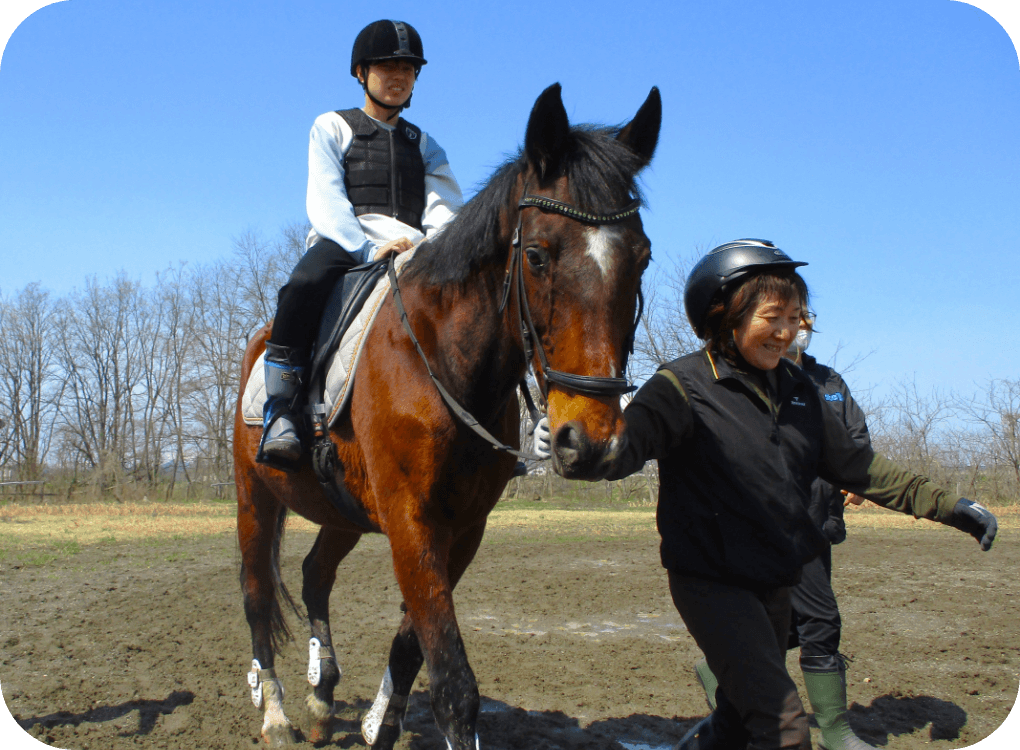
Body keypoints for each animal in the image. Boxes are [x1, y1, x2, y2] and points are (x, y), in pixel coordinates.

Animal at [233, 82, 661, 749]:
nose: (587, 442)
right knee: (257, 594)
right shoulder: (413, 521)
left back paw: (323, 695)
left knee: (314, 575)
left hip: (343, 510)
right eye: (536, 255)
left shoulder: (462, 527)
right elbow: (454, 682)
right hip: (255, 498)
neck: (442, 361)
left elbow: (414, 648)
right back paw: (276, 713)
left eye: (640, 258)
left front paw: (381, 725)